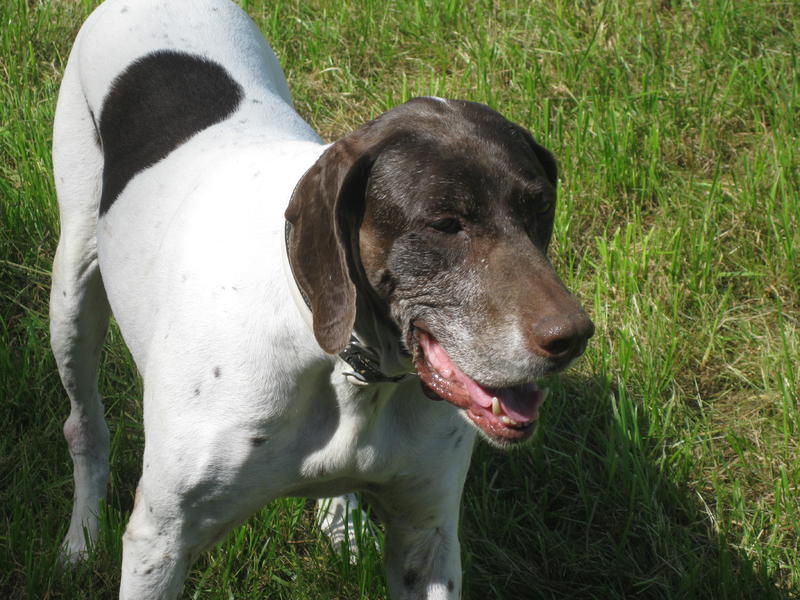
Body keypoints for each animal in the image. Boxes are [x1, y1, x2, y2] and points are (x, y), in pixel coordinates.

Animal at [47, 0, 592, 596]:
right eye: (446, 223)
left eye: (540, 207)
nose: (573, 337)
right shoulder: (160, 542)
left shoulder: (426, 534)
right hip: (73, 292)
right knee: (83, 425)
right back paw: (81, 536)